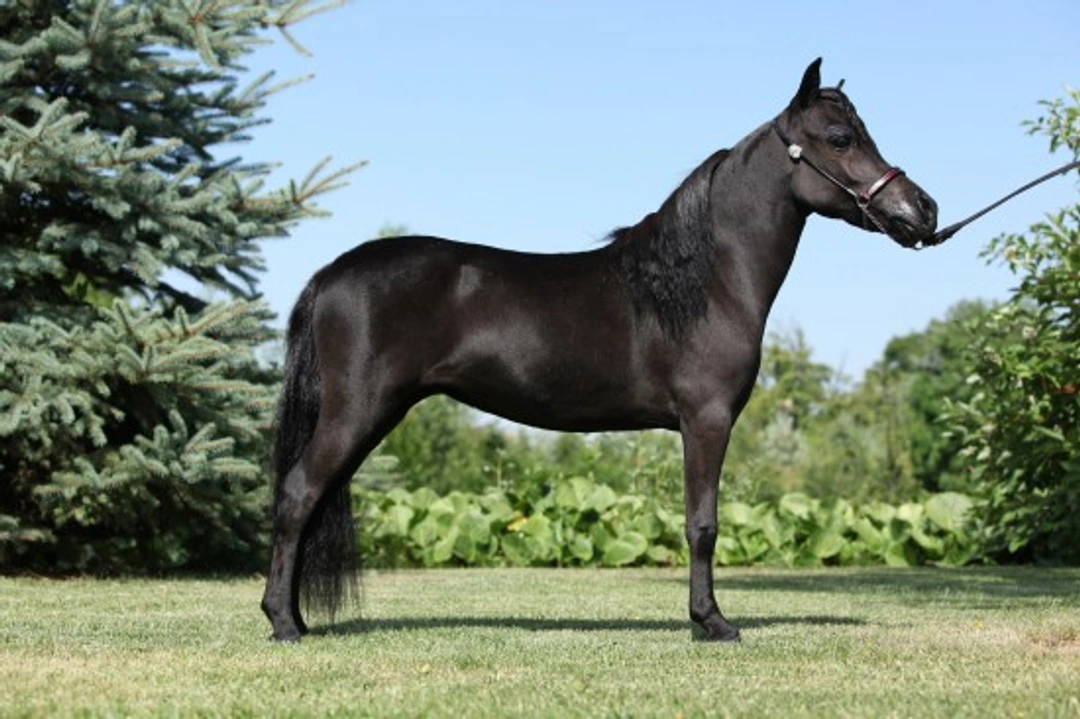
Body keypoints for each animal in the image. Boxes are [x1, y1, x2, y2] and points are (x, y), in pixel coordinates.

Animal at [261, 58, 940, 643]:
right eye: (840, 138)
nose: (924, 210)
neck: (702, 283)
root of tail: (330, 273)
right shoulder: (707, 421)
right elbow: (703, 524)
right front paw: (712, 622)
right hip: (358, 412)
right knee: (297, 496)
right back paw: (284, 623)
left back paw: (296, 618)